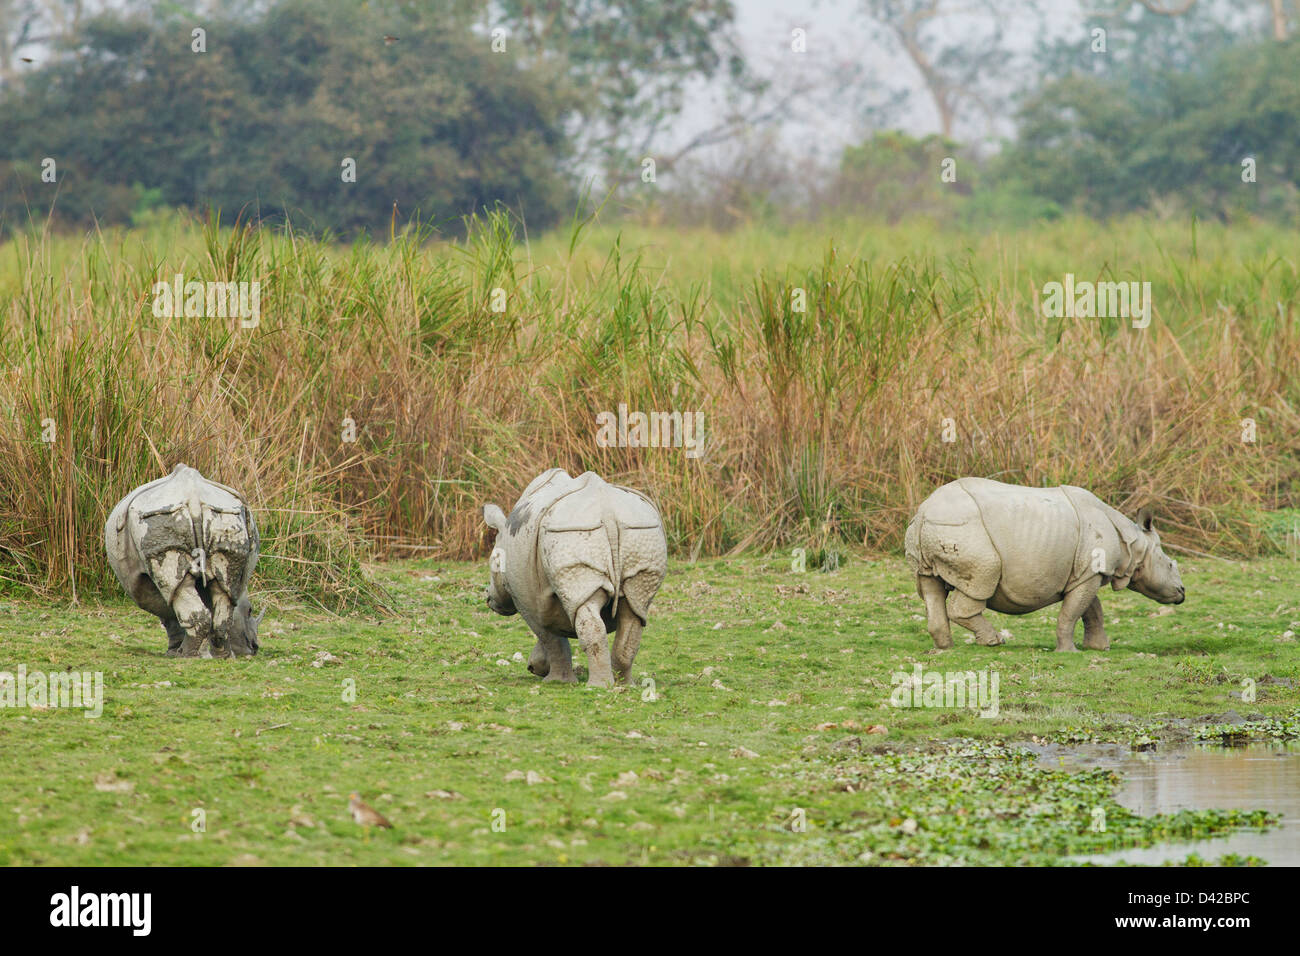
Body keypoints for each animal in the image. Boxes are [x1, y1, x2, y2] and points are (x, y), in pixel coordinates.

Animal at [105, 463, 263, 658]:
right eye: (249, 611)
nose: (254, 647)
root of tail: (193, 498)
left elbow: (170, 615)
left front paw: (173, 653)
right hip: (227, 517)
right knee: (223, 590)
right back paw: (223, 657)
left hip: (158, 517)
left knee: (179, 587)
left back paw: (186, 656)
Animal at [481, 469, 668, 687]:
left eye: (492, 565)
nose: (489, 598)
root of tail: (608, 513)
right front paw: (538, 668)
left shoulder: (527, 599)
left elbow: (549, 637)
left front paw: (551, 678)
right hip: (642, 532)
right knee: (634, 611)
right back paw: (623, 684)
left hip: (572, 532)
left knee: (585, 612)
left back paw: (598, 687)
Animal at [904, 478, 1185, 652]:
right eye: (1171, 565)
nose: (1182, 593)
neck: (1133, 543)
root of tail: (923, 513)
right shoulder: (1092, 570)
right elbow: (1072, 612)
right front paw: (1069, 651)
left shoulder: (1085, 573)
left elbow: (1091, 609)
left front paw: (1099, 648)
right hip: (962, 530)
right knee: (982, 578)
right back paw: (994, 642)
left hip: (934, 532)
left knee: (930, 586)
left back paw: (945, 647)